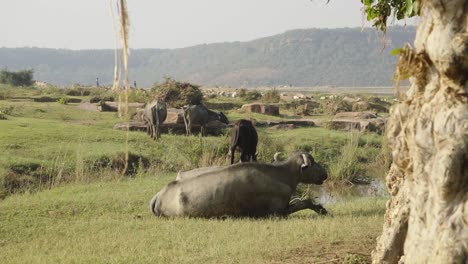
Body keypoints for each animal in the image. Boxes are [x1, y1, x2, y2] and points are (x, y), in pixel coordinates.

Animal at [151, 152, 330, 218]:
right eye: (313, 161)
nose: (325, 173)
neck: (281, 176)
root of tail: (159, 195)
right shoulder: (277, 211)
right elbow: (304, 202)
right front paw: (321, 209)